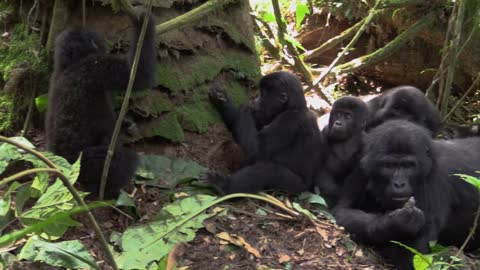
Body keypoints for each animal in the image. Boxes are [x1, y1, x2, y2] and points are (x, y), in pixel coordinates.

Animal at [46, 9, 157, 198]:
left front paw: (127, 123)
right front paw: (143, 23)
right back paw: (108, 192)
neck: (69, 64)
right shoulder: (97, 66)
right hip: (84, 163)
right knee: (123, 160)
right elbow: (136, 76)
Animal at [334, 121, 480, 270]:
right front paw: (395, 223)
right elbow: (342, 211)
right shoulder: (363, 166)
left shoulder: (434, 178)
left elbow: (414, 255)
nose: (399, 184)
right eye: (389, 166)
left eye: (409, 166)